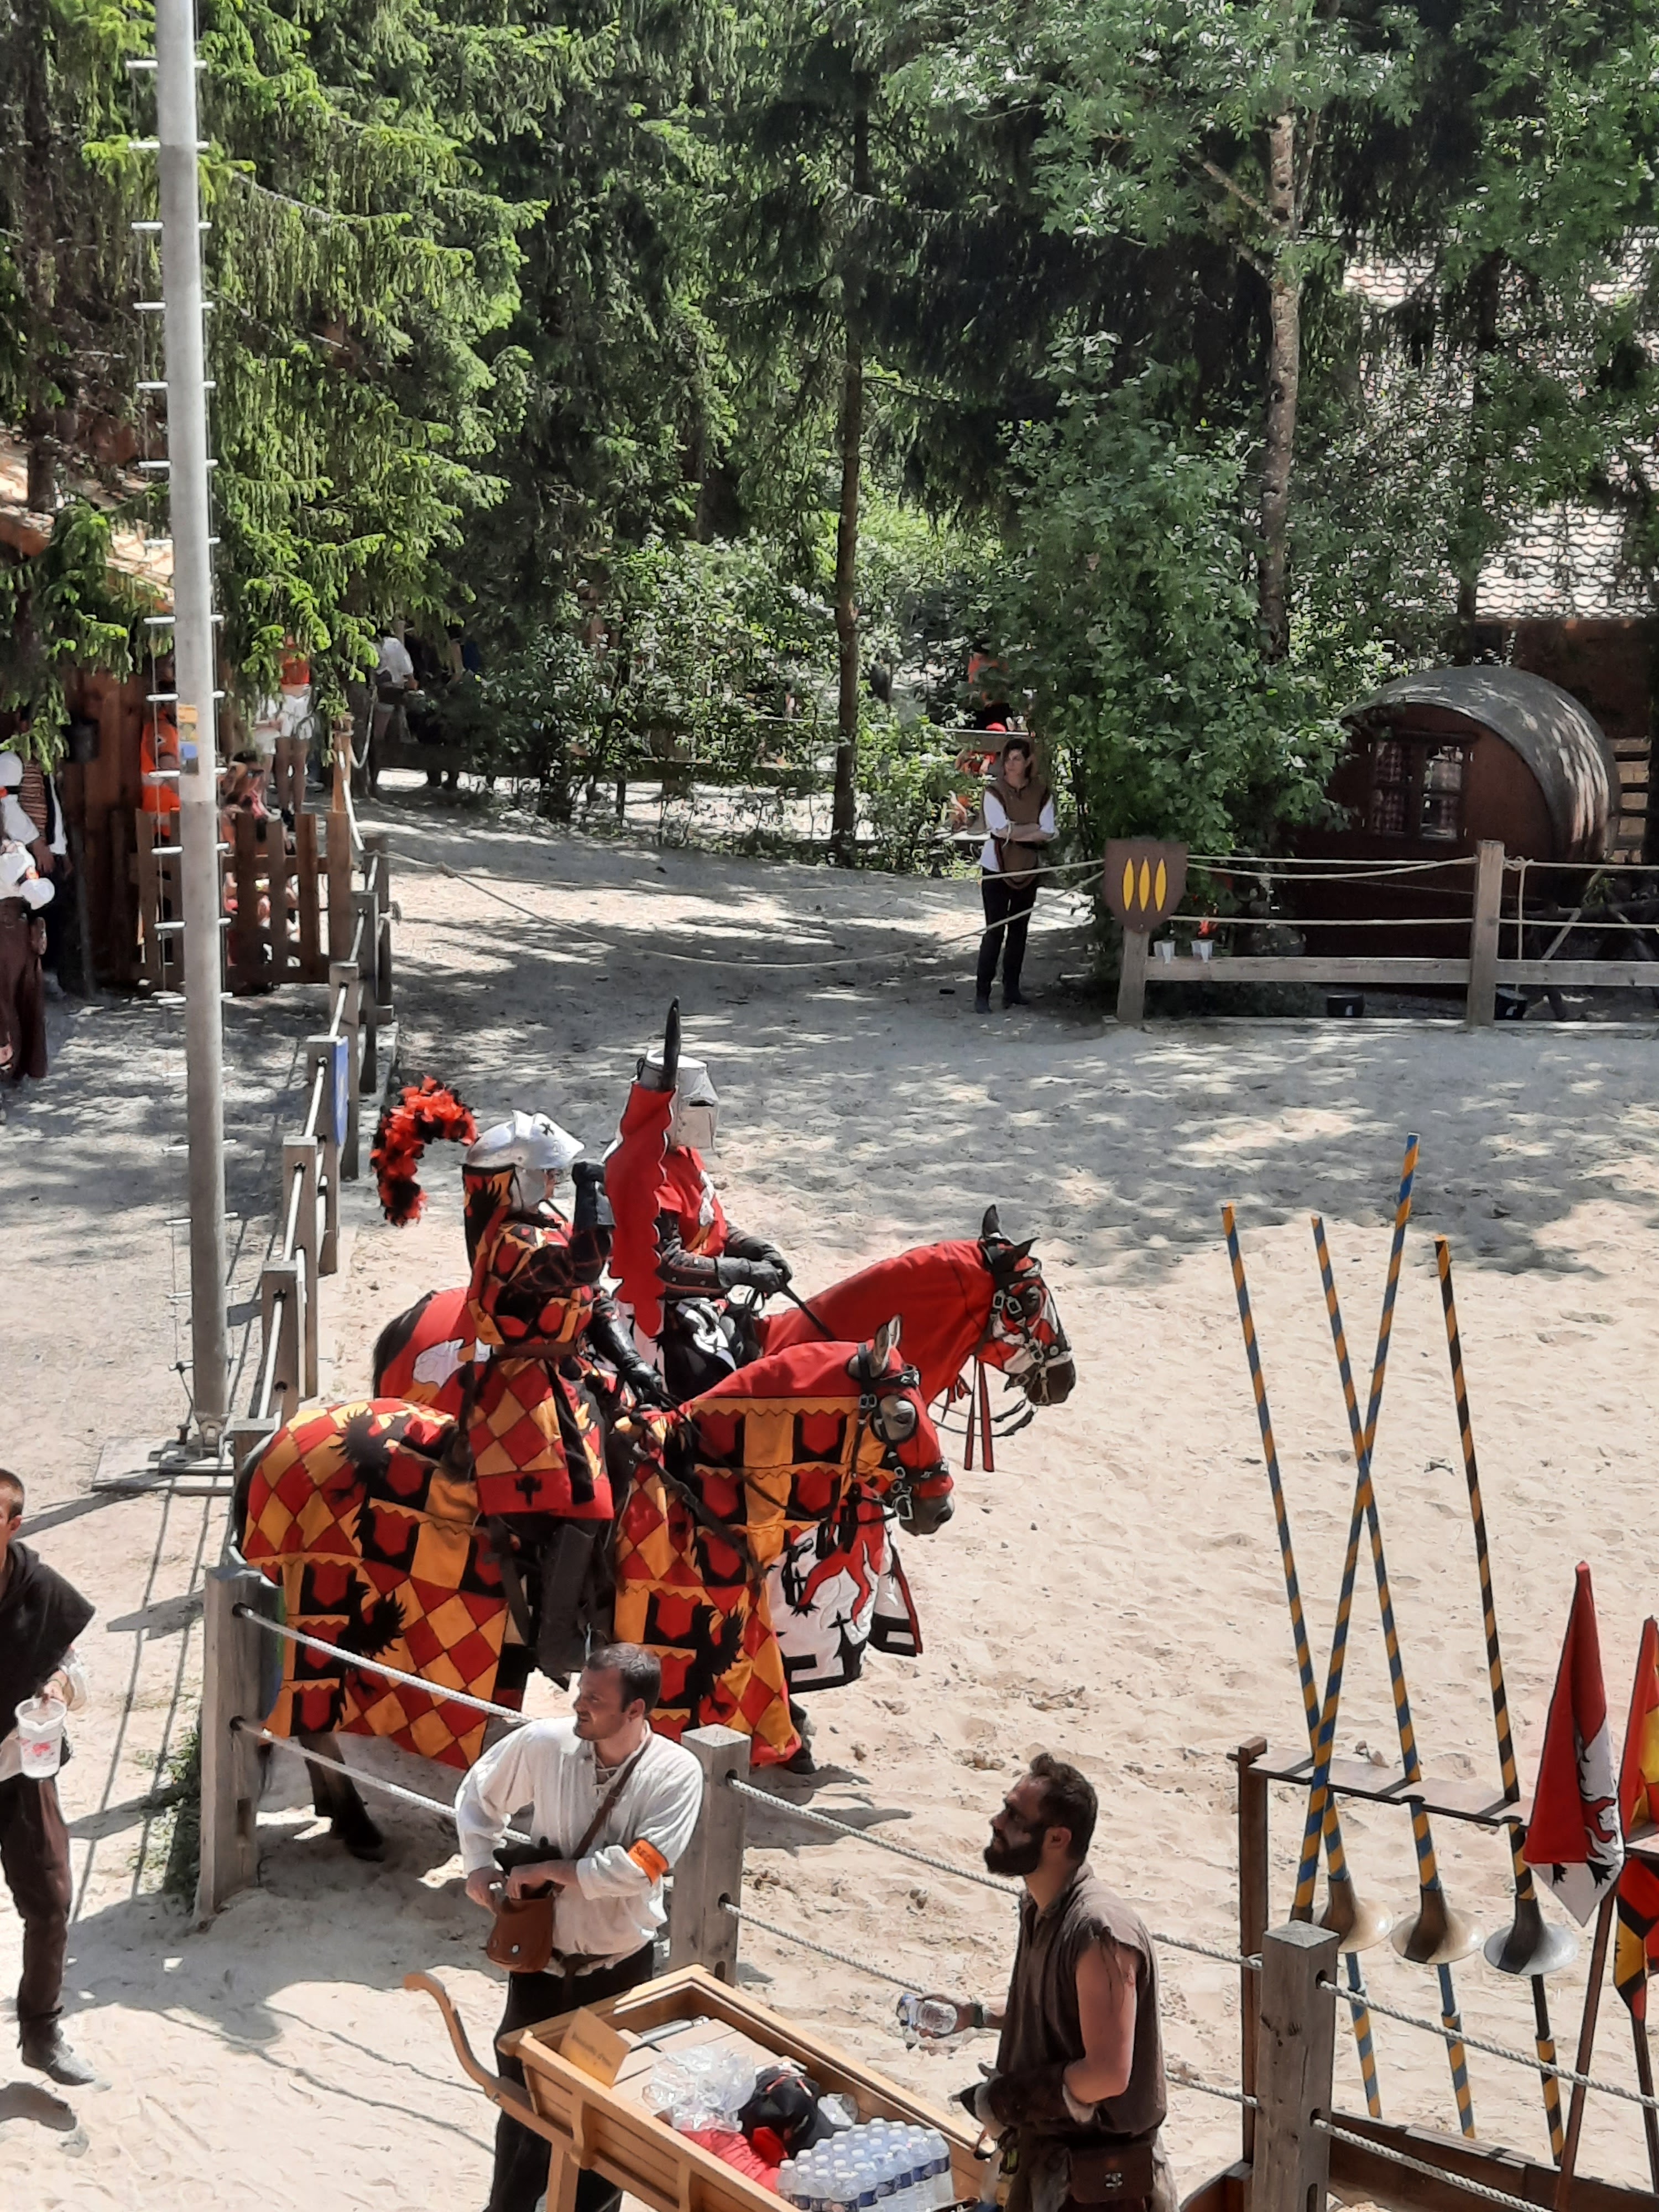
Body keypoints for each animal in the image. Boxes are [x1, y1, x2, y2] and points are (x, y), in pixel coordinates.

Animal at [236, 1325, 949, 1849]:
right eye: (902, 1415)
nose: (939, 1503)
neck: (705, 1484)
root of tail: (273, 1445)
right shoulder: (680, 1665)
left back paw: (342, 1811)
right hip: (320, 1602)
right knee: (309, 1717)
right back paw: (355, 1822)